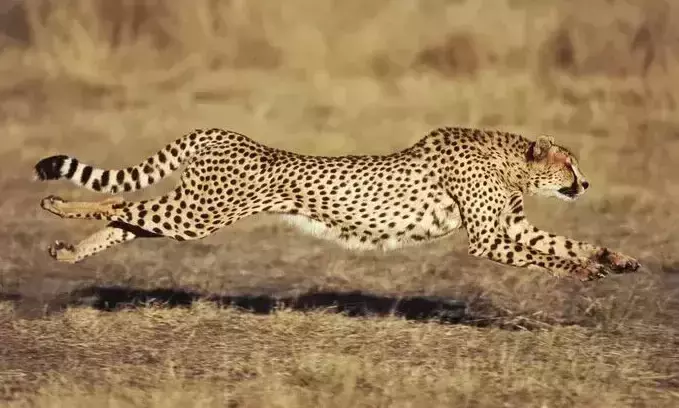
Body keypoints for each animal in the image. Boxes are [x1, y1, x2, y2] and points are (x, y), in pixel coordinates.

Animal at [33, 126, 641, 281]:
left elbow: (565, 241)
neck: (511, 159)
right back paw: (58, 205)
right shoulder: (488, 238)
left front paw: (615, 259)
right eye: (568, 165)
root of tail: (220, 132)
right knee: (118, 205)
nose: (586, 184)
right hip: (200, 214)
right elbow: (548, 255)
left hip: (191, 212)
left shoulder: (510, 228)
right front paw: (584, 271)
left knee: (125, 218)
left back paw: (65, 251)